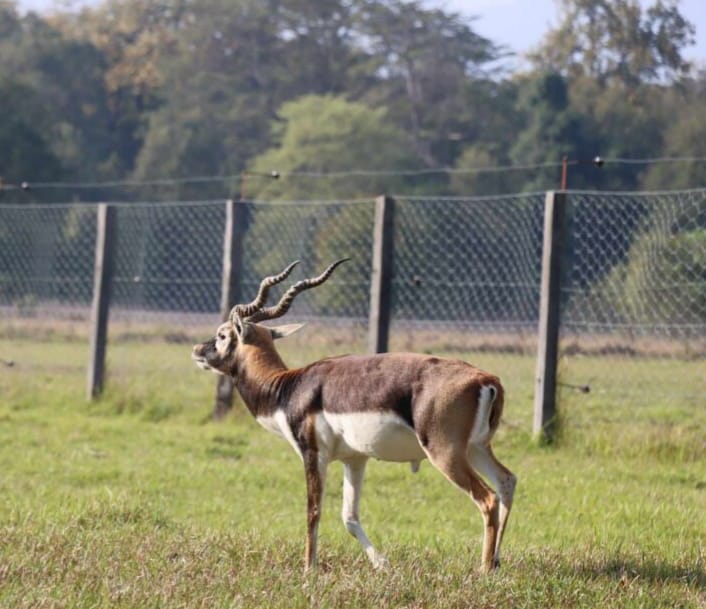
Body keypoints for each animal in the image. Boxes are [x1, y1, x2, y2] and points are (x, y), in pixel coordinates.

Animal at [191, 259, 516, 572]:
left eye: (222, 335)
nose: (197, 350)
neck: (288, 386)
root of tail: (486, 380)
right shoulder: (355, 459)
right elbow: (349, 516)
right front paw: (382, 564)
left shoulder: (313, 453)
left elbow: (313, 510)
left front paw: (308, 569)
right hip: (475, 448)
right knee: (507, 482)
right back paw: (496, 562)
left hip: (445, 453)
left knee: (488, 499)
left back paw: (483, 570)